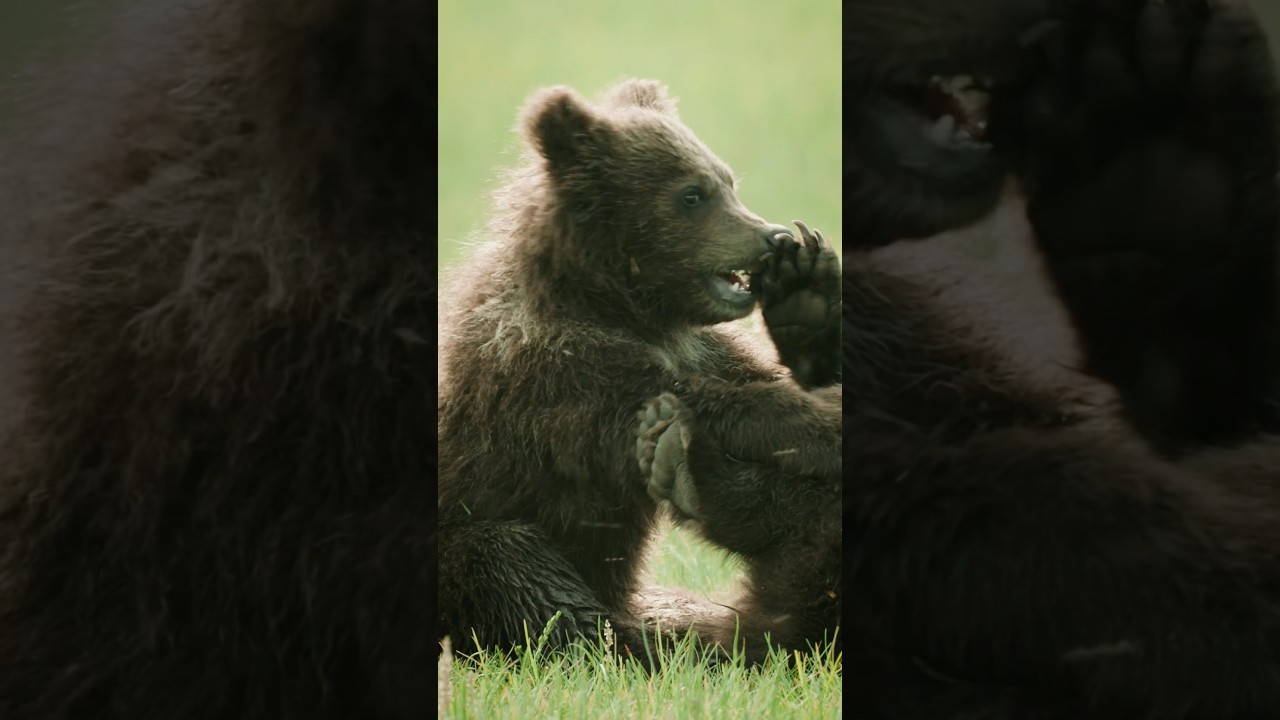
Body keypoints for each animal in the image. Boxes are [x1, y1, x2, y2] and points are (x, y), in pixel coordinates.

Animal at [436, 77, 842, 664]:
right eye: (692, 194)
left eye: (728, 181)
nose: (772, 236)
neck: (624, 308)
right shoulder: (554, 374)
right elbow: (714, 402)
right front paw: (825, 421)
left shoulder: (702, 346)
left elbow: (761, 382)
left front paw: (803, 288)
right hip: (462, 540)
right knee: (518, 569)